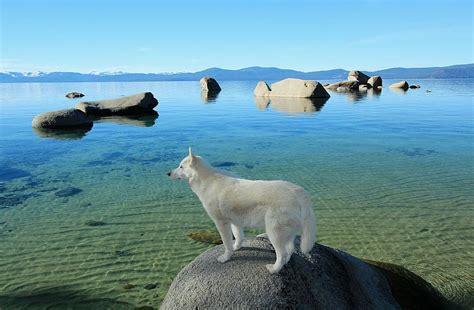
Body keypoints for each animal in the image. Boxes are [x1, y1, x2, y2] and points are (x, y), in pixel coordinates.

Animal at [168, 147, 316, 272]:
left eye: (181, 166)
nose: (168, 173)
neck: (206, 179)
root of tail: (298, 192)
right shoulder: (235, 222)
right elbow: (238, 237)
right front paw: (236, 248)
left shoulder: (221, 223)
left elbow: (227, 243)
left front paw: (225, 257)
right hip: (286, 231)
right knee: (290, 250)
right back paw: (284, 264)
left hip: (274, 231)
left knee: (282, 253)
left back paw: (274, 269)